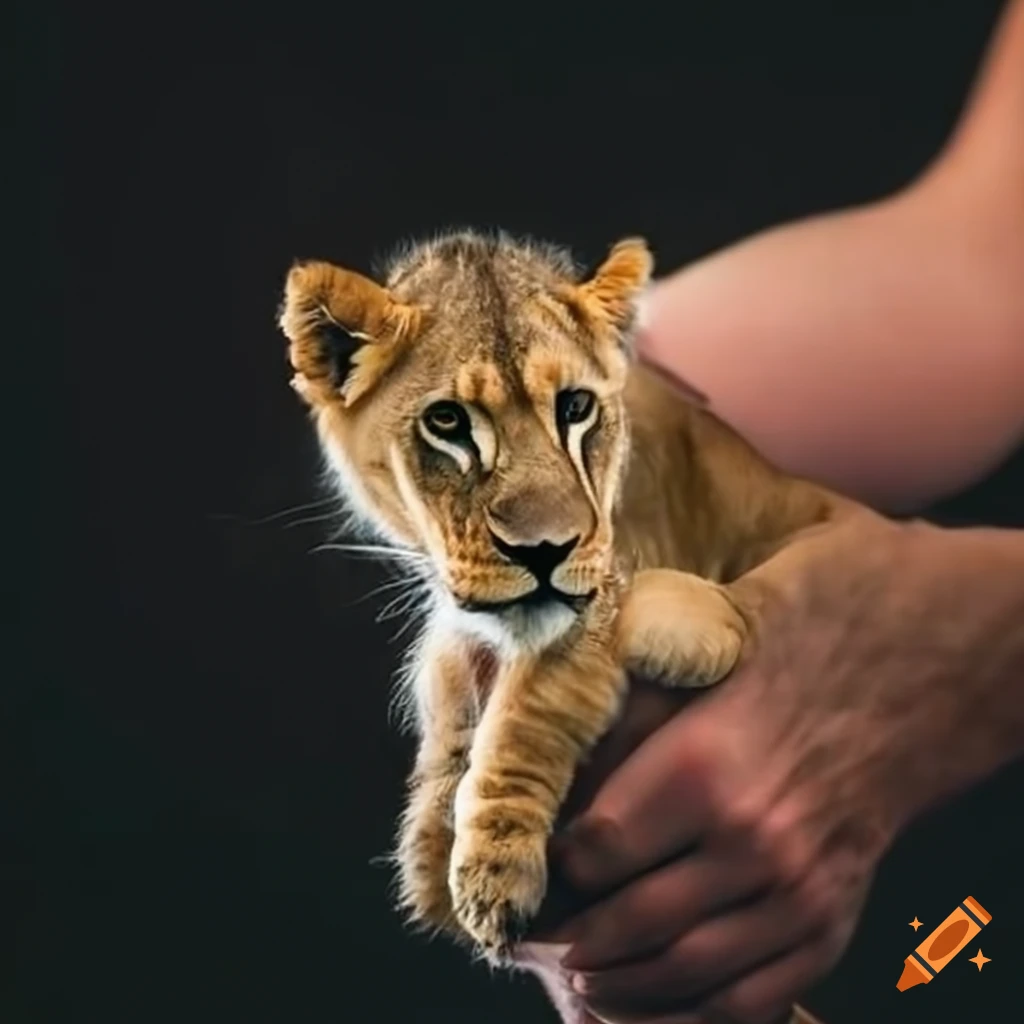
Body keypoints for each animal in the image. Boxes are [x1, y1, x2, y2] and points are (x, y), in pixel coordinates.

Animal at [278, 231, 849, 1023]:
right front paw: (429, 839)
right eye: (447, 422)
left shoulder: (627, 583)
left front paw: (489, 872)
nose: (544, 552)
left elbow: (542, 689)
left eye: (575, 407)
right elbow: (448, 674)